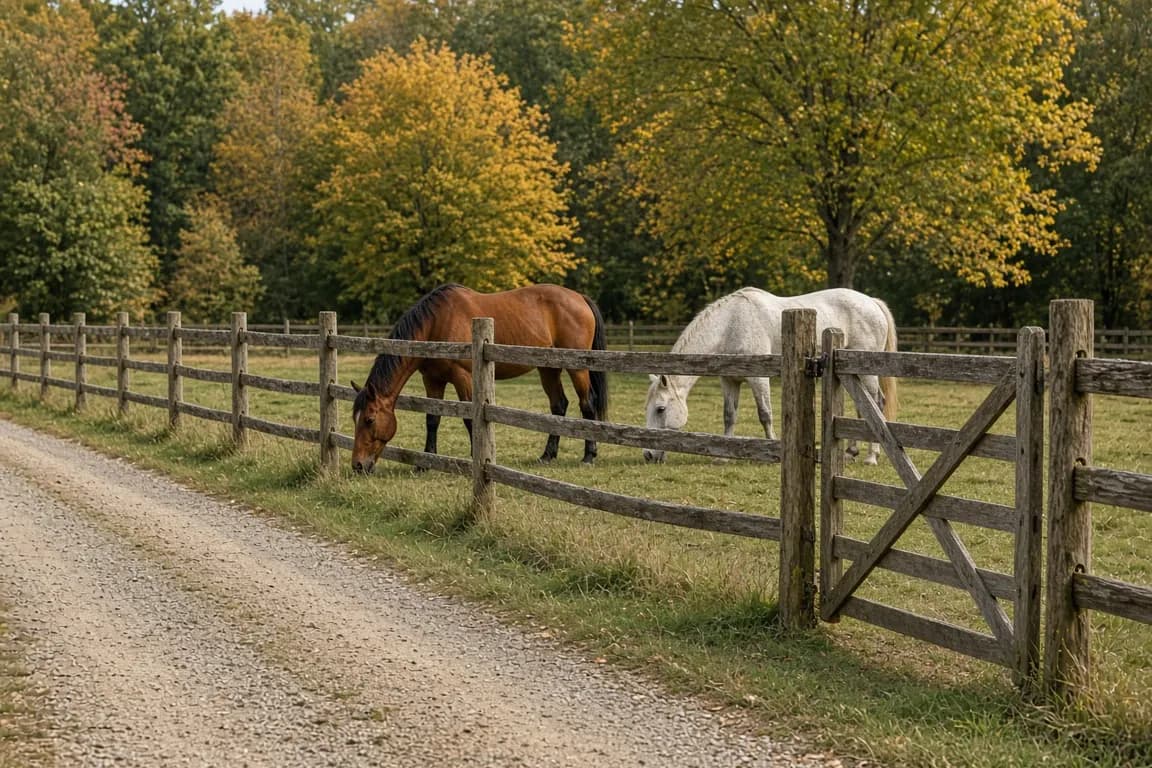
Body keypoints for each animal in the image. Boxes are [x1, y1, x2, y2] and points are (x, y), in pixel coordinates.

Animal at [351, 283, 609, 474]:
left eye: (369, 420)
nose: (358, 465)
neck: (437, 324)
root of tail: (580, 298)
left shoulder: (463, 378)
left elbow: (469, 419)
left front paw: (475, 458)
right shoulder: (433, 380)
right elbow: (432, 419)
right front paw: (425, 463)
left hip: (577, 369)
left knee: (586, 404)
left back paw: (589, 455)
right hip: (548, 368)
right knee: (558, 406)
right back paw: (547, 455)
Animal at [643, 287, 898, 465]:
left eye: (660, 409)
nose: (648, 455)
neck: (731, 324)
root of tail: (872, 302)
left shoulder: (758, 379)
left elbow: (765, 414)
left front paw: (773, 450)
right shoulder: (729, 380)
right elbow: (729, 416)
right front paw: (723, 456)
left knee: (876, 404)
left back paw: (871, 456)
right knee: (864, 408)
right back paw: (851, 452)